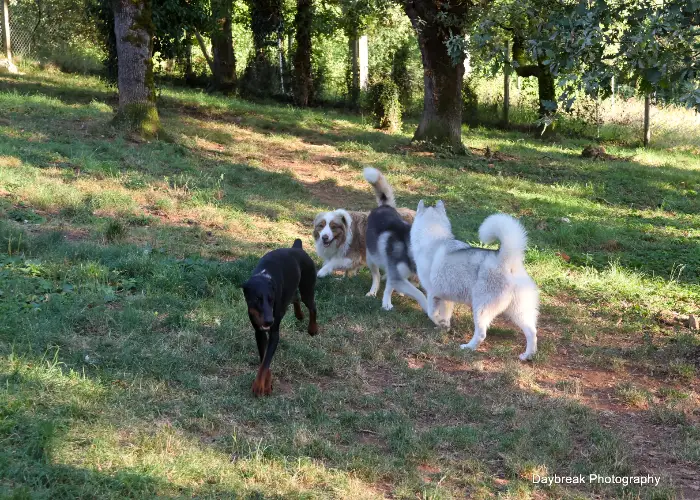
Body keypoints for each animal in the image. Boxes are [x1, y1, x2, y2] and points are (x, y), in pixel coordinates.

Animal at [241, 240, 318, 396]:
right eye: (256, 299)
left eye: (271, 299)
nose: (269, 321)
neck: (264, 276)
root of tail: (297, 247)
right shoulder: (259, 332)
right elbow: (264, 359)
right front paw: (267, 385)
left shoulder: (274, 332)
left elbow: (265, 362)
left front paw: (258, 386)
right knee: (295, 298)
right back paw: (299, 315)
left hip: (307, 287)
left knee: (312, 306)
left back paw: (312, 328)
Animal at [412, 201, 540, 362]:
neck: (435, 237)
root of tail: (506, 260)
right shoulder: (447, 298)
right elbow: (445, 315)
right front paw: (445, 326)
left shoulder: (432, 294)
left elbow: (431, 314)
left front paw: (439, 323)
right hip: (519, 311)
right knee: (532, 333)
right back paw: (527, 355)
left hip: (480, 308)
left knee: (481, 334)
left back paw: (468, 347)